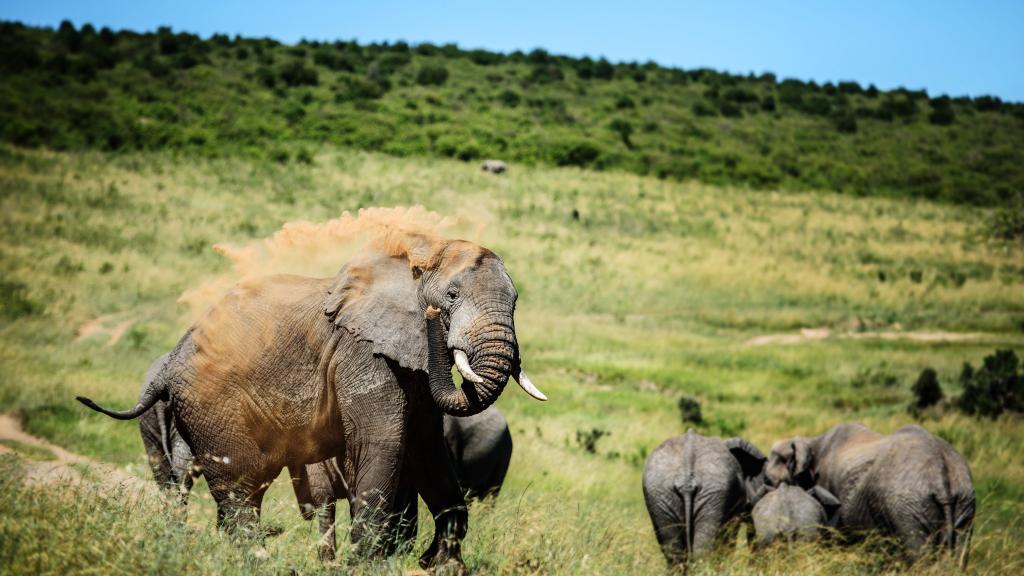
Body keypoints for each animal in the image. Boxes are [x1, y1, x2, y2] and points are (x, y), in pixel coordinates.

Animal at [764, 423, 975, 567]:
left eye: (767, 480)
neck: (811, 442)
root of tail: (941, 472)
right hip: (963, 502)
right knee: (960, 551)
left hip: (906, 507)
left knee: (916, 553)